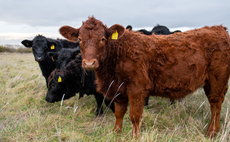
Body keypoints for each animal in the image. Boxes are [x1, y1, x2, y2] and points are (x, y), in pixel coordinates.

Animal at [58, 16, 230, 139]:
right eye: (80, 39)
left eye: (102, 39)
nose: (89, 63)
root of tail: (218, 28)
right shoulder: (118, 89)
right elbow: (119, 113)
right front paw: (116, 133)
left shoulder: (137, 88)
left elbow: (134, 116)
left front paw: (135, 137)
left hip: (217, 80)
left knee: (215, 106)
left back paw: (211, 133)